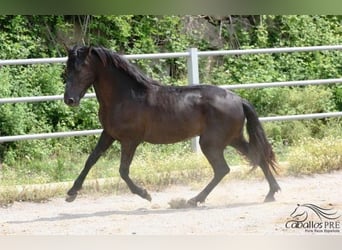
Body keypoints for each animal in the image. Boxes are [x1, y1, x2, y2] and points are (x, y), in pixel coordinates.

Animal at [62, 45, 280, 205]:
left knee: (223, 169)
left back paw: (194, 200)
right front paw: (72, 192)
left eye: (80, 68)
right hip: (233, 139)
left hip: (211, 143)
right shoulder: (109, 134)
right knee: (257, 157)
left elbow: (123, 171)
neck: (126, 96)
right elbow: (91, 160)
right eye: (67, 68)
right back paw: (271, 193)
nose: (69, 100)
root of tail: (238, 99)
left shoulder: (130, 140)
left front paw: (145, 194)